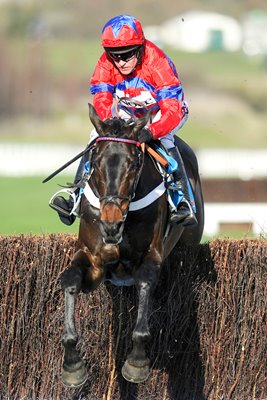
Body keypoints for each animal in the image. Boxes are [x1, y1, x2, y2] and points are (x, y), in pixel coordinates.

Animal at [60, 104, 205, 388]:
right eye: (95, 162)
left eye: (134, 163)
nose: (111, 223)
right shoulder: (93, 261)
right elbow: (70, 279)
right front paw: (73, 365)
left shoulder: (151, 256)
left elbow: (146, 285)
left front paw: (136, 362)